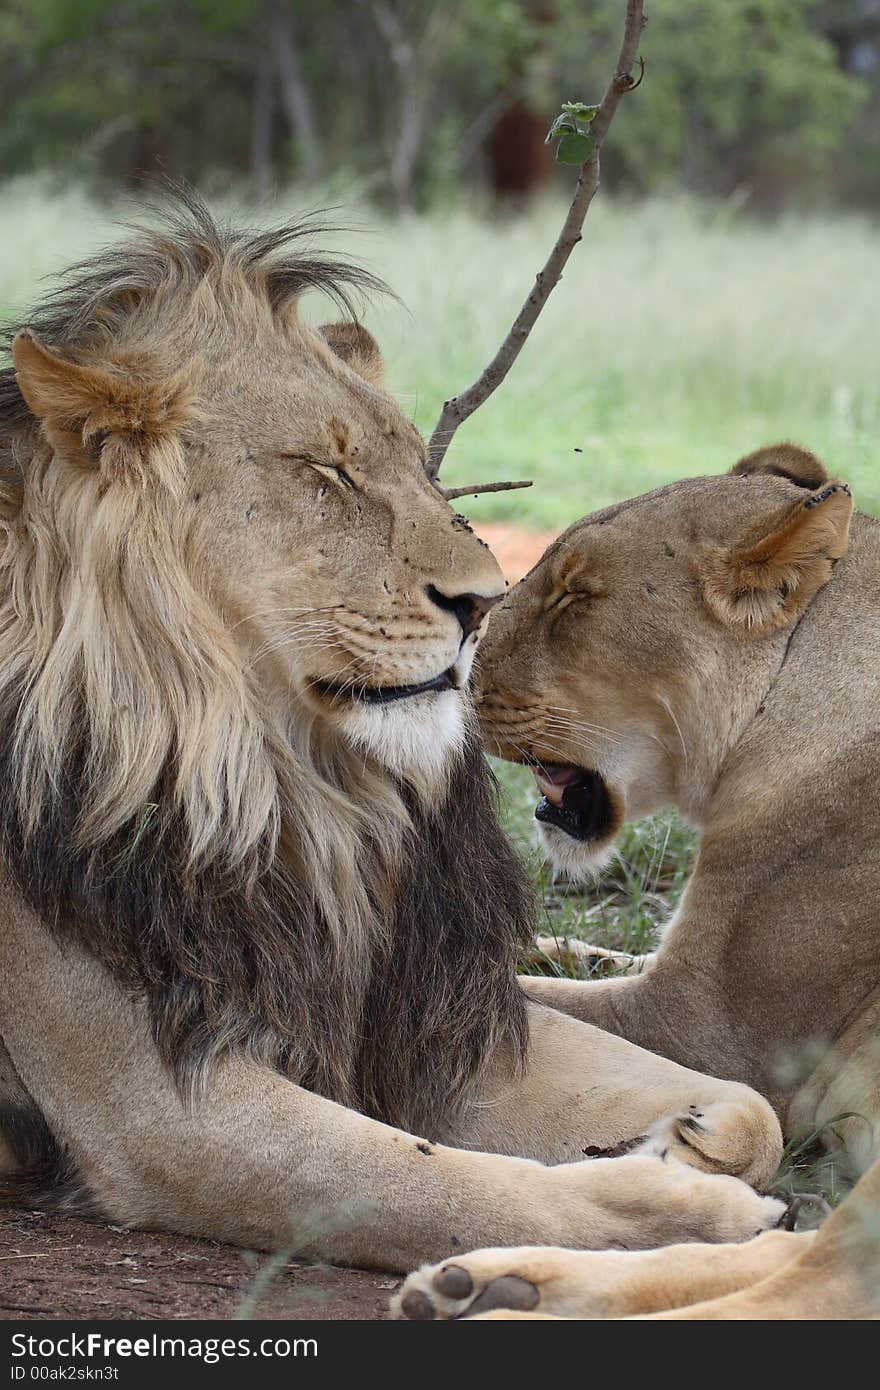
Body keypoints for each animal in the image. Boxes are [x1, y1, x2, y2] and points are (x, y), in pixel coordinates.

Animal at [0, 195, 784, 1273]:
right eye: (327, 470)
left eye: (419, 469)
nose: (483, 603)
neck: (286, 782)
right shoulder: (157, 1107)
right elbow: (455, 1186)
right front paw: (686, 1211)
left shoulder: (429, 1014)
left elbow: (752, 1108)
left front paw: (678, 1138)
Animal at [397, 444, 878, 1312]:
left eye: (578, 596)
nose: (452, 676)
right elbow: (558, 956)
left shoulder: (711, 1026)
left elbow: (533, 994)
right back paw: (488, 1284)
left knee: (813, 1283)